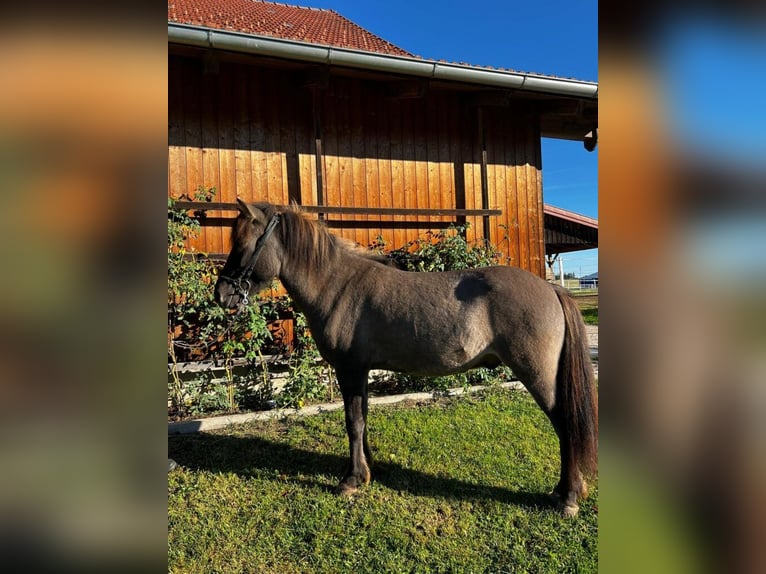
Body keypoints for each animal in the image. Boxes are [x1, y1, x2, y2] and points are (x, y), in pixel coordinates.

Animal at [215, 199, 597, 517]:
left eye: (242, 243)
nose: (221, 294)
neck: (338, 284)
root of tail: (551, 288)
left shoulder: (349, 369)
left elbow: (353, 422)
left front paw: (351, 480)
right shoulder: (361, 372)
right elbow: (362, 419)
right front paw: (368, 470)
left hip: (538, 376)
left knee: (565, 425)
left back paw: (567, 498)